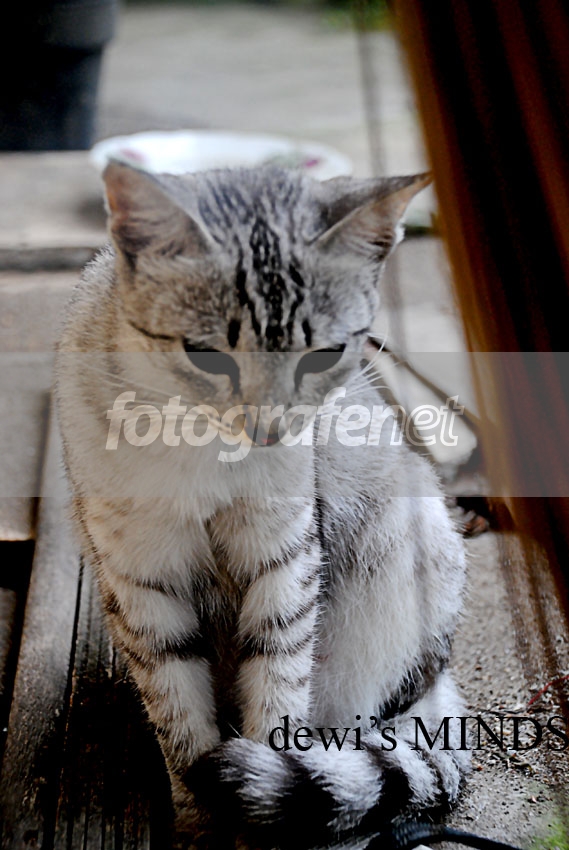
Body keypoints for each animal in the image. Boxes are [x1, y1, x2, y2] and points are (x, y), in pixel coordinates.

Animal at [55, 161, 469, 849]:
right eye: (206, 353)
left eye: (324, 354)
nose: (270, 428)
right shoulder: (143, 581)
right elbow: (180, 723)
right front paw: (199, 822)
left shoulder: (285, 560)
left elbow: (274, 695)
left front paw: (250, 816)